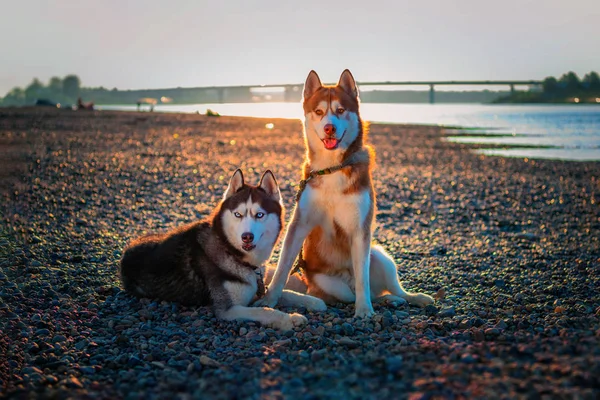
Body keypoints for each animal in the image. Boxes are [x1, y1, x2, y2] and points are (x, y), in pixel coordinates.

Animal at [120, 170, 326, 330]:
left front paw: (313, 301)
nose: (247, 236)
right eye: (238, 214)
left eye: (260, 215)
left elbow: (282, 293)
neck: (231, 252)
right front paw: (290, 319)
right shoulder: (229, 309)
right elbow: (265, 310)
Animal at [255, 69, 434, 318]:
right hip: (329, 283)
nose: (329, 127)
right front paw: (269, 300)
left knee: (387, 288)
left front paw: (364, 310)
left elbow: (362, 279)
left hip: (380, 256)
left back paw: (407, 298)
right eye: (319, 112)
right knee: (353, 294)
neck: (332, 168)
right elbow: (282, 268)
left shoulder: (360, 228)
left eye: (340, 110)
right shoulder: (299, 223)